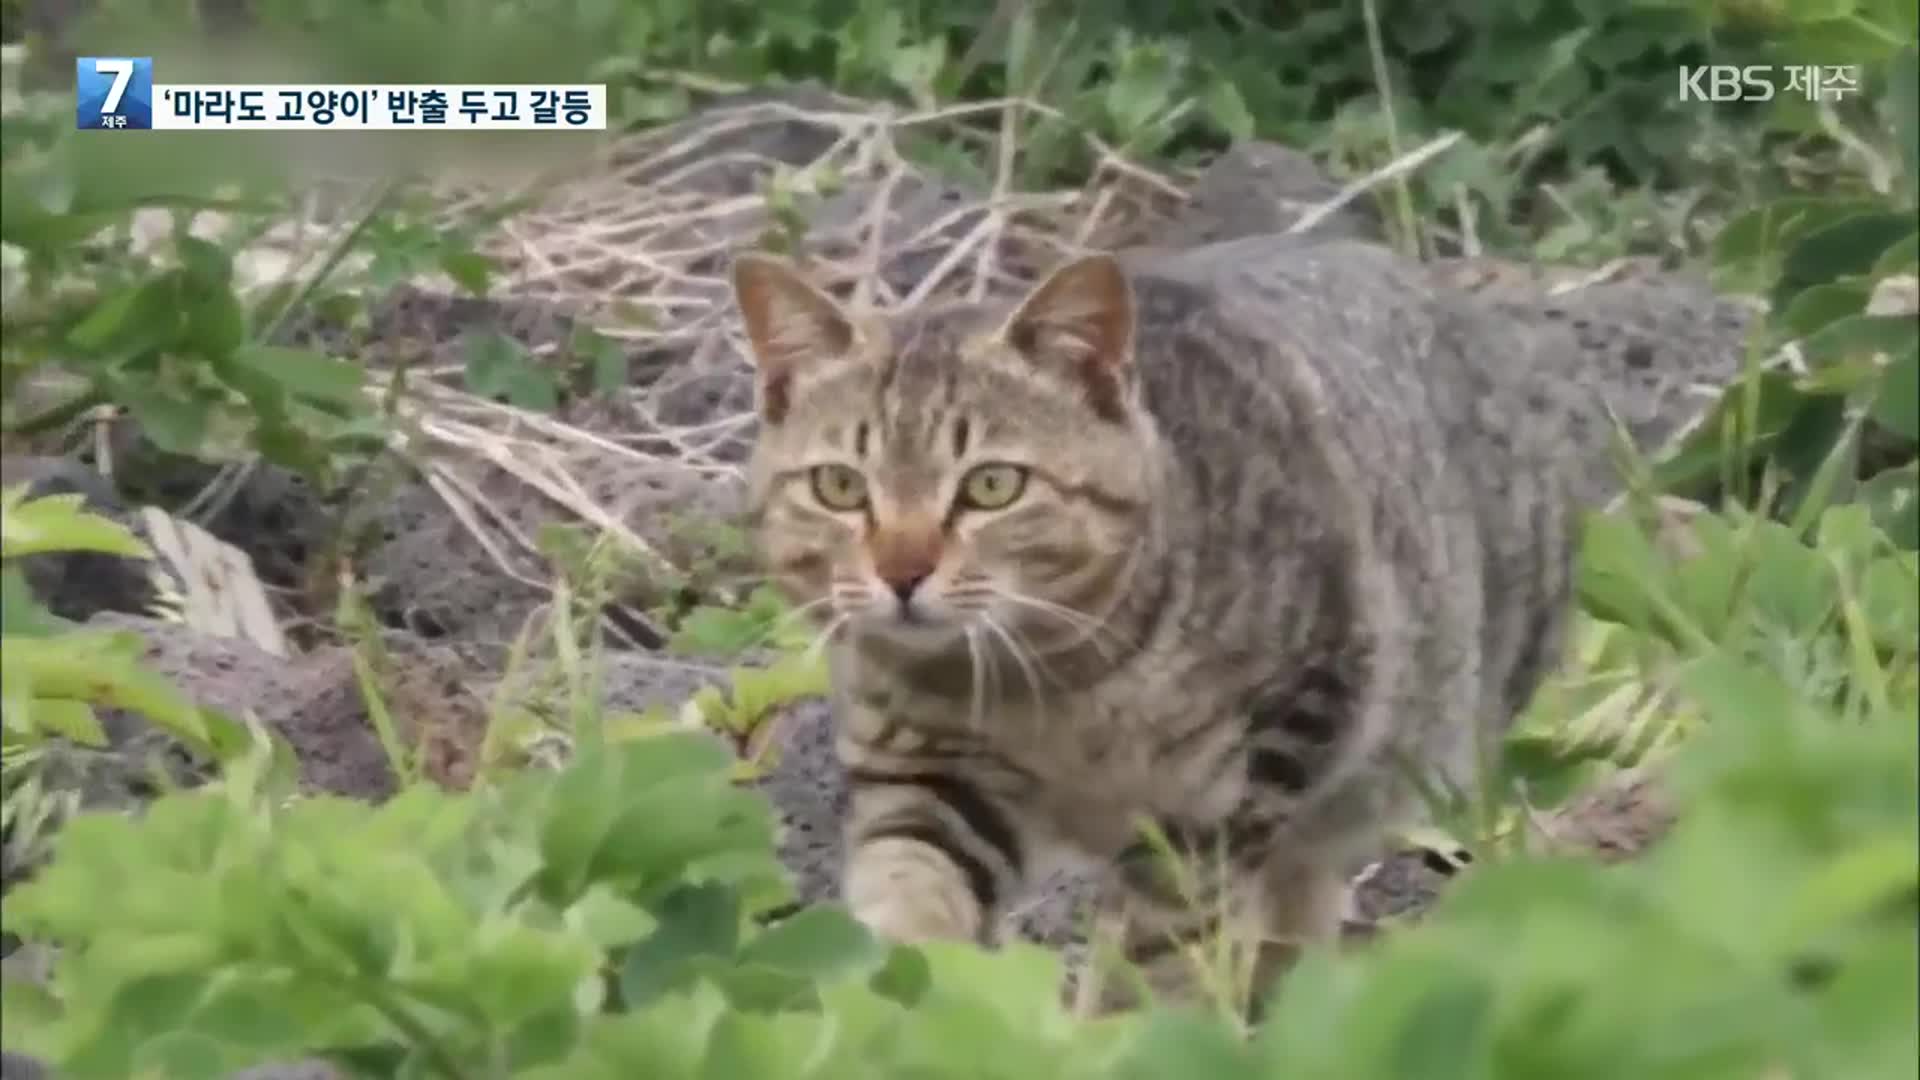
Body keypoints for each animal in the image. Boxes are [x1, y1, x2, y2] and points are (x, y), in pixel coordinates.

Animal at [725, 235, 1582, 999]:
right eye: (839, 486)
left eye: (993, 485)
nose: (901, 573)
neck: (1047, 693)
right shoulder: (925, 777)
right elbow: (908, 913)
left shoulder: (1232, 788)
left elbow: (1161, 955)